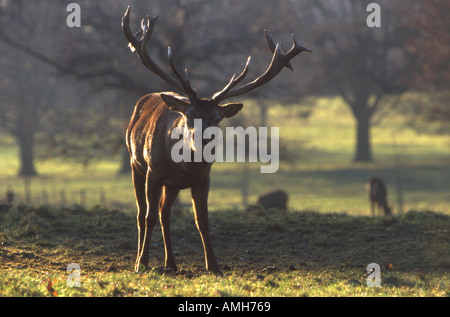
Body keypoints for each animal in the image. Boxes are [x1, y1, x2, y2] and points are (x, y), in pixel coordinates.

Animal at [121, 6, 312, 274]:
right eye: (190, 116)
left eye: (216, 118)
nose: (204, 140)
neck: (184, 165)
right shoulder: (153, 172)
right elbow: (148, 217)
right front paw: (143, 263)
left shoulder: (203, 178)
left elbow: (202, 220)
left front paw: (214, 266)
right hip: (135, 163)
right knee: (143, 214)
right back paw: (141, 260)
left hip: (171, 185)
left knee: (164, 213)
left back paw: (171, 264)